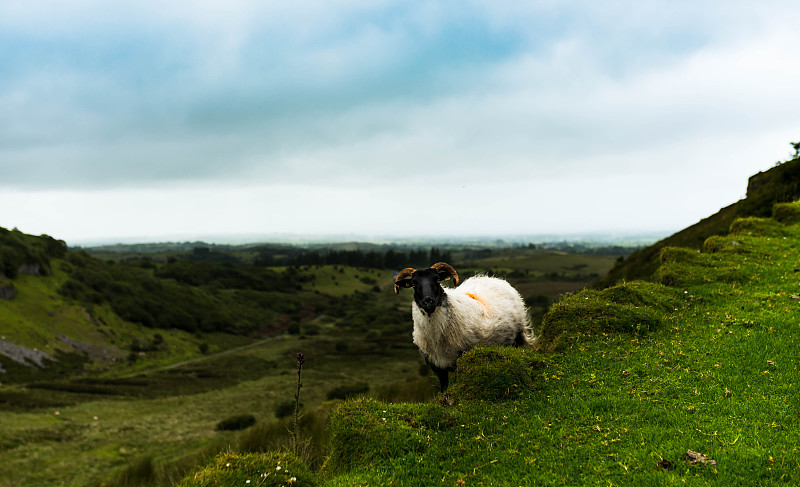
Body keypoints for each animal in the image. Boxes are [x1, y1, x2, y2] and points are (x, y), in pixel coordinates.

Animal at [392, 262, 532, 390]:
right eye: (414, 284)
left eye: (437, 280)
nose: (428, 301)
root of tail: (495, 279)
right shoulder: (437, 366)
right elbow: (444, 387)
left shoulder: (460, 357)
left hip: (516, 339)